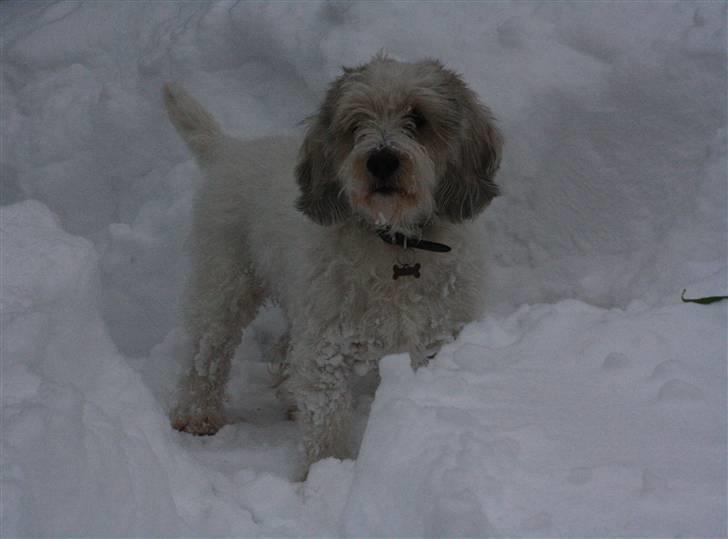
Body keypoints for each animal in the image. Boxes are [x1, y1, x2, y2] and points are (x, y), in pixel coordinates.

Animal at [163, 53, 504, 468]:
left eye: (418, 117)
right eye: (356, 122)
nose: (382, 160)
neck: (398, 244)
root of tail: (230, 149)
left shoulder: (438, 334)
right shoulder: (325, 345)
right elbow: (326, 419)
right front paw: (327, 470)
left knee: (281, 348)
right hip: (225, 284)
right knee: (207, 352)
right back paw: (197, 414)